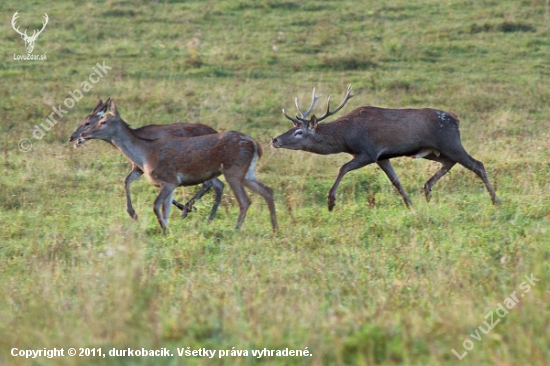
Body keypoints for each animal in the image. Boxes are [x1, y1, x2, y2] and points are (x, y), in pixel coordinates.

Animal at [81, 98, 280, 233]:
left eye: (102, 121)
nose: (82, 134)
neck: (144, 154)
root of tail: (255, 144)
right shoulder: (169, 184)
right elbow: (165, 210)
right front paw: (167, 229)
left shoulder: (170, 180)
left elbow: (156, 206)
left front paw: (165, 228)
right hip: (248, 172)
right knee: (268, 191)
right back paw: (275, 227)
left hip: (234, 170)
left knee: (245, 200)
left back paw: (236, 228)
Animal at [274, 85, 502, 210]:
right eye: (291, 128)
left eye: (298, 132)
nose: (274, 140)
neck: (346, 137)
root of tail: (456, 120)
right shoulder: (383, 157)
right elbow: (396, 181)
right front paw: (410, 204)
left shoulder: (369, 151)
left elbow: (343, 168)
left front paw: (331, 202)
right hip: (435, 151)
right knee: (450, 162)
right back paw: (427, 189)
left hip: (451, 141)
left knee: (477, 164)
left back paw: (496, 200)